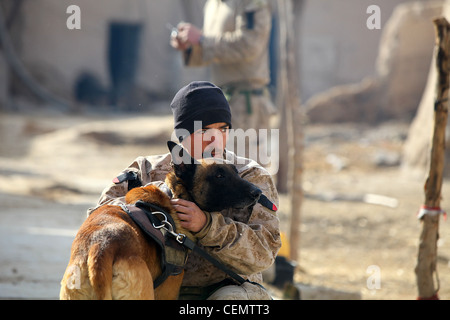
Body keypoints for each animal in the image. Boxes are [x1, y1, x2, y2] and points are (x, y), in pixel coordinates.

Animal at [61, 141, 262, 298]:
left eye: (236, 172)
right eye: (219, 176)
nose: (259, 192)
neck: (172, 197)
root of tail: (100, 250)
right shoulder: (169, 290)